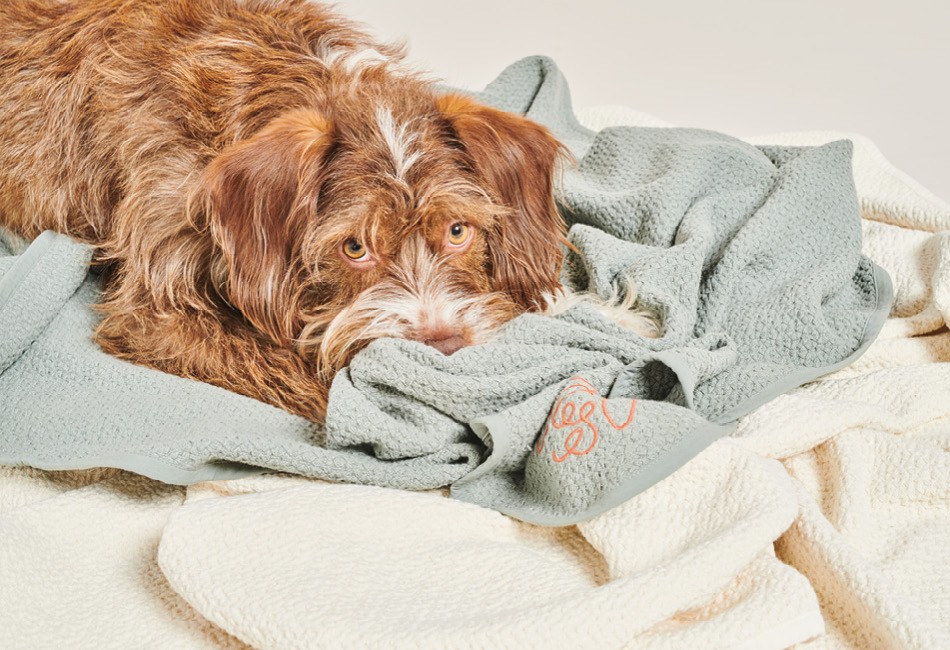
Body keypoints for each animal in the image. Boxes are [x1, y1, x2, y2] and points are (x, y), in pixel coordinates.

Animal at [0, 0, 656, 420]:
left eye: (458, 231)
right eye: (354, 247)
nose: (442, 345)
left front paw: (605, 314)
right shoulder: (154, 312)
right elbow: (306, 371)